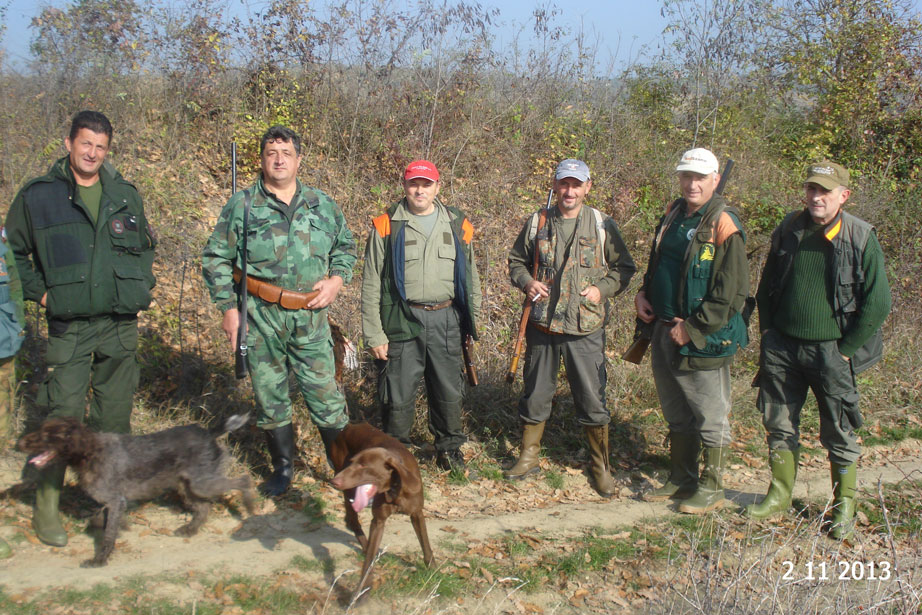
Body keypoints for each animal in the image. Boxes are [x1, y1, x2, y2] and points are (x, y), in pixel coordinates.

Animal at [18, 414, 255, 568]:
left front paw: (100, 559)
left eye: (48, 435)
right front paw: (119, 527)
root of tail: (208, 432)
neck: (89, 452)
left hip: (201, 483)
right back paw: (190, 529)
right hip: (187, 486)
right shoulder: (113, 502)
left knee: (243, 481)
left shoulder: (115, 501)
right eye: (41, 429)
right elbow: (100, 520)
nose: (19, 442)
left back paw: (250, 504)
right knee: (204, 507)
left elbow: (108, 534)